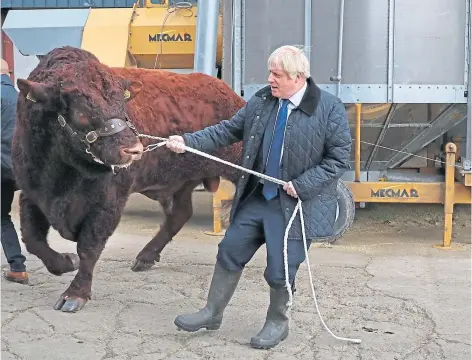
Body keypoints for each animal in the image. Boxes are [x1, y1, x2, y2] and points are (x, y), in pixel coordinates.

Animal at [13, 45, 245, 312]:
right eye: (81, 110)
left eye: (122, 104)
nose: (133, 150)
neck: (64, 173)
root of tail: (230, 95)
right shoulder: (31, 194)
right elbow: (32, 240)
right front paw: (65, 262)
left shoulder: (109, 202)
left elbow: (88, 247)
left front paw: (75, 294)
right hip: (180, 183)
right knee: (180, 214)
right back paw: (145, 258)